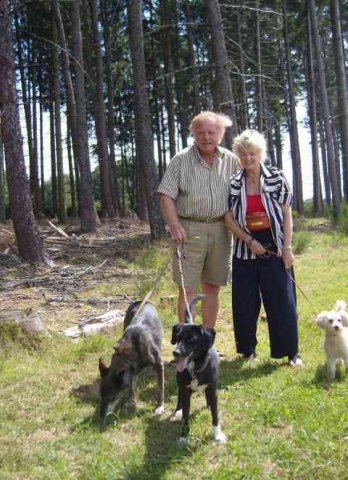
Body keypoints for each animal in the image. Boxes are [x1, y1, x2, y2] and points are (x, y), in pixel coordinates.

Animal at [170, 294, 227, 444]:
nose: (175, 353)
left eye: (191, 339)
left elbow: (215, 415)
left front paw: (217, 435)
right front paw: (184, 437)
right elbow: (185, 417)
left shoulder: (213, 390)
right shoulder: (186, 391)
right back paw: (178, 411)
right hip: (179, 382)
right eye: (178, 338)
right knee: (179, 397)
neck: (196, 368)